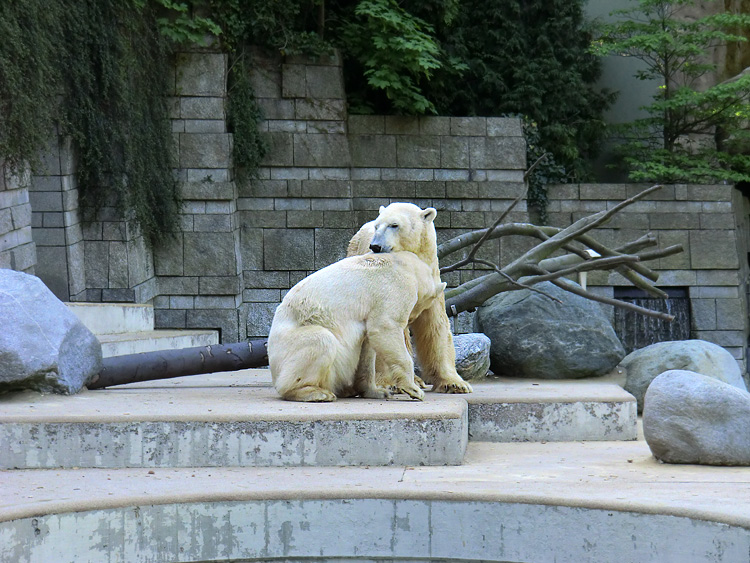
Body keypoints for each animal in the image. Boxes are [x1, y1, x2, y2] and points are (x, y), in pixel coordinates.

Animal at [270, 249, 446, 404]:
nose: (410, 320)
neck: (404, 264)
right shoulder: (396, 287)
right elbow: (385, 326)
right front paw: (414, 389)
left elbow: (367, 348)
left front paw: (378, 391)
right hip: (289, 344)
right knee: (321, 340)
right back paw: (316, 393)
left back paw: (347, 390)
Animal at [348, 200, 476, 394]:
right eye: (378, 226)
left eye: (394, 225)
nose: (375, 246)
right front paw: (387, 382)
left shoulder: (432, 282)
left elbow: (435, 326)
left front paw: (455, 383)